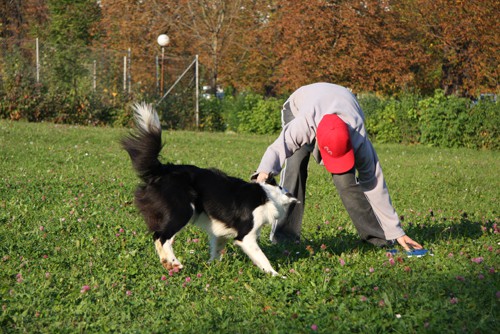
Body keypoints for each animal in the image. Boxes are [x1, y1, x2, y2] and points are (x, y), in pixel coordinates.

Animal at [122, 103, 296, 276]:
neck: (268, 195)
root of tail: (162, 170)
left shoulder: (220, 233)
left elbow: (217, 251)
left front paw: (212, 267)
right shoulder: (246, 236)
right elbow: (262, 258)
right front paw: (276, 275)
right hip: (182, 210)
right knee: (161, 237)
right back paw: (173, 262)